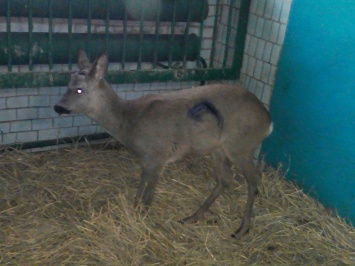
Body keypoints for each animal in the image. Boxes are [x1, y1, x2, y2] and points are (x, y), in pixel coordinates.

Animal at [54, 50, 274, 239]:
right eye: (67, 85)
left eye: (79, 89)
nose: (58, 107)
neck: (128, 121)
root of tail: (268, 122)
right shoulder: (146, 159)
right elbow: (140, 189)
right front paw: (134, 212)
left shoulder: (158, 155)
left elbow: (148, 195)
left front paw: (142, 220)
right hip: (218, 148)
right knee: (225, 179)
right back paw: (191, 217)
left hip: (241, 145)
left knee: (253, 181)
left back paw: (242, 229)